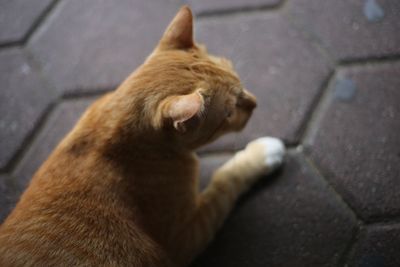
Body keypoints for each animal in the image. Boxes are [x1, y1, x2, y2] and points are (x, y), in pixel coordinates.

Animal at [0, 6, 284, 267]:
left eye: (239, 81)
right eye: (228, 113)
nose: (255, 103)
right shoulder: (185, 236)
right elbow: (226, 179)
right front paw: (262, 154)